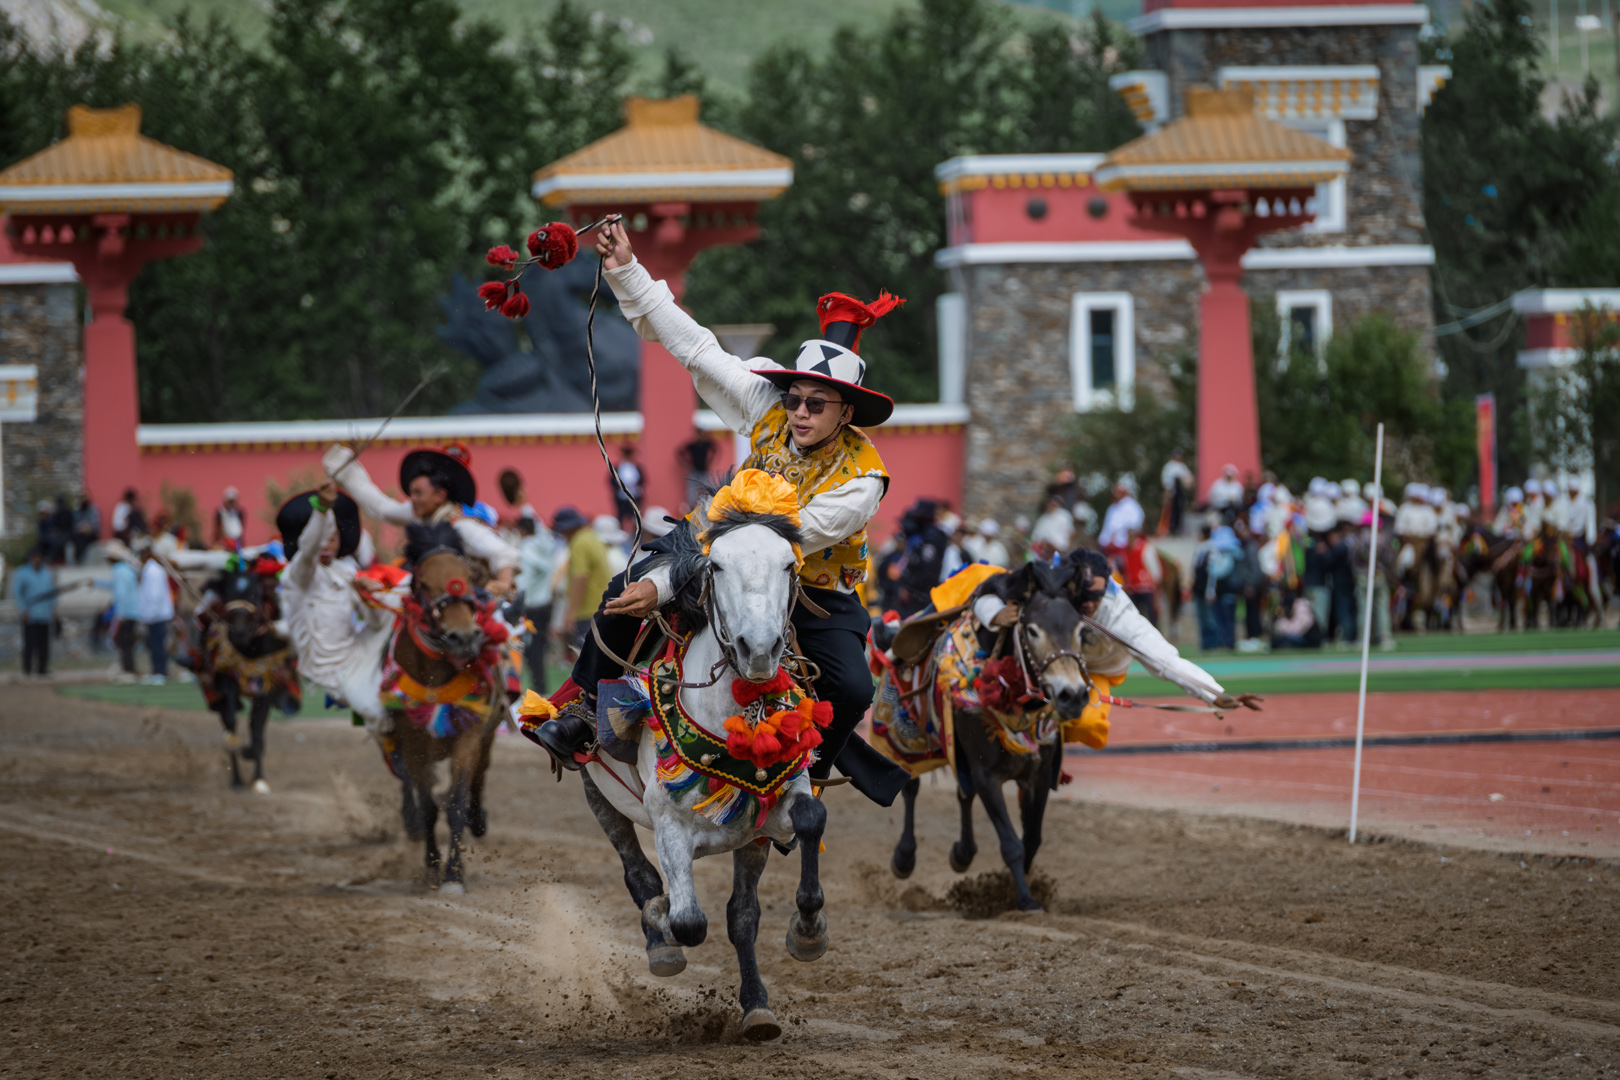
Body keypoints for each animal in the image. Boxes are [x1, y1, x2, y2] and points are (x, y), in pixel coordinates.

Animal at [194, 565, 299, 793]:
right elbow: (232, 719)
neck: (249, 647)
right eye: (228, 594)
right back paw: (236, 778)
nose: (239, 632)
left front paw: (259, 777)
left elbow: (256, 728)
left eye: (254, 593)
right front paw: (238, 757)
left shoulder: (266, 687)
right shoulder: (227, 679)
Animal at [377, 522, 507, 895]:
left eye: (467, 576)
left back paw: (479, 820)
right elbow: (429, 808)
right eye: (423, 583)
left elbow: (456, 804)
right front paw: (433, 866)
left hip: (487, 736)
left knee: (480, 778)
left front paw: (454, 874)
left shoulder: (469, 738)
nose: (463, 637)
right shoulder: (413, 745)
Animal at [557, 486, 831, 1042]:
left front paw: (808, 931)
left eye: (789, 565)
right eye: (717, 565)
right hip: (599, 794)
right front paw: (663, 924)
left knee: (741, 915)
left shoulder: (772, 806)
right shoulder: (669, 826)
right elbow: (687, 921)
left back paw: (757, 1009)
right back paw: (659, 939)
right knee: (639, 875)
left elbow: (809, 821)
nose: (760, 649)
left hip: (749, 839)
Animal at [876, 557, 1091, 913]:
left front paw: (1008, 890)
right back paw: (904, 858)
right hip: (908, 739)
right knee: (910, 787)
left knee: (963, 795)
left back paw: (962, 853)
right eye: (1033, 630)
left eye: (1080, 630)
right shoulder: (987, 774)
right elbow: (1011, 843)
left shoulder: (1037, 773)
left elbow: (1031, 839)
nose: (1071, 695)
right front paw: (1025, 900)